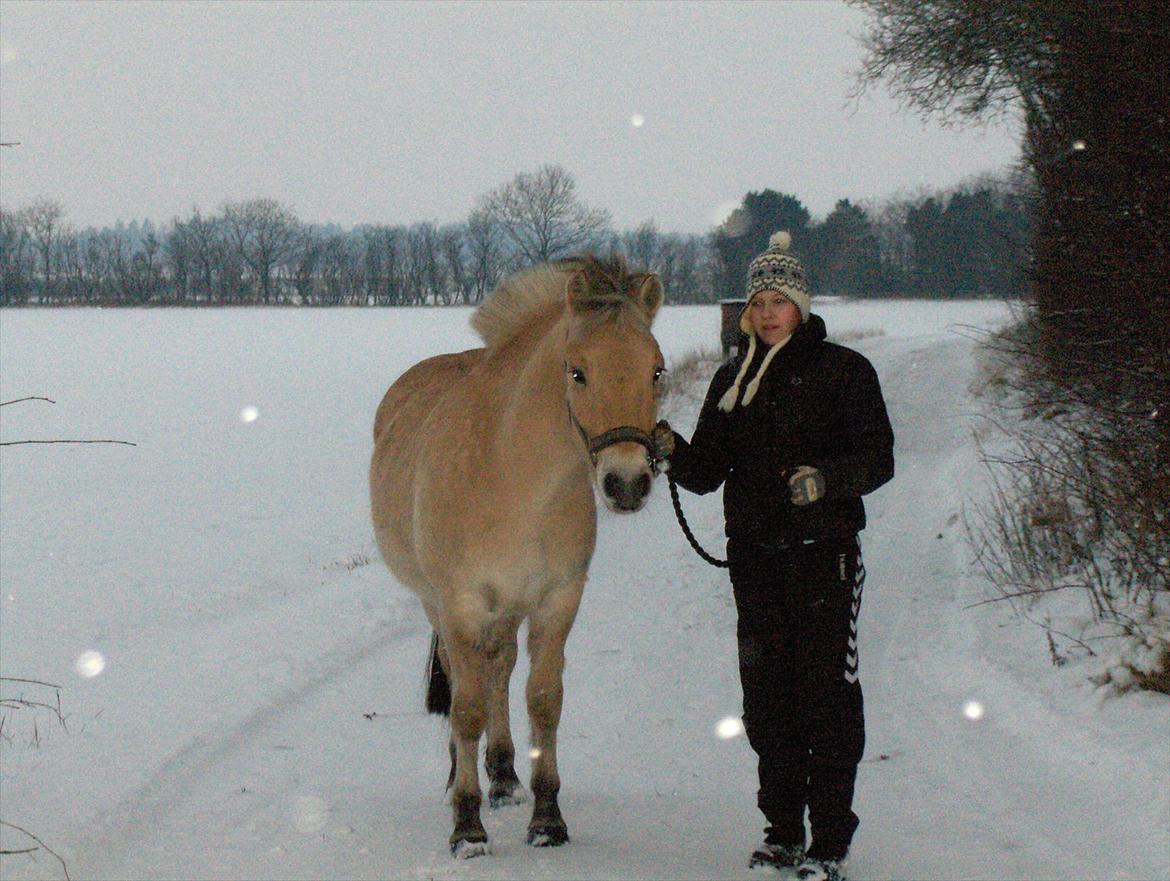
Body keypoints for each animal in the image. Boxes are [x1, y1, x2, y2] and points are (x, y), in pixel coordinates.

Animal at [374, 252, 669, 851]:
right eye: (577, 371)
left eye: (655, 370)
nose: (627, 483)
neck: (513, 477)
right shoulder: (461, 606)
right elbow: (465, 708)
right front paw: (467, 826)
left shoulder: (557, 600)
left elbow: (543, 698)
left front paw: (547, 816)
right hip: (437, 604)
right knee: (465, 678)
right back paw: (463, 773)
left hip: (508, 610)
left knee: (501, 667)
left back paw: (505, 774)